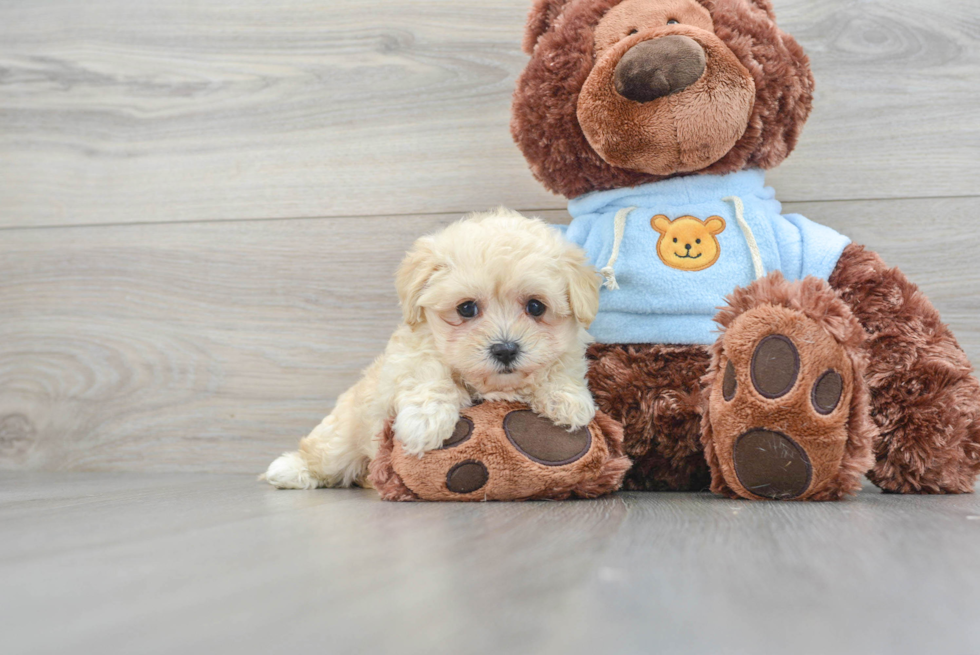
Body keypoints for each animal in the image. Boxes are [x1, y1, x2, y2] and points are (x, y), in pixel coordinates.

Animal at [262, 208, 596, 490]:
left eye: (536, 306)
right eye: (466, 308)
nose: (505, 350)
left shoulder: (567, 351)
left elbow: (560, 366)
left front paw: (566, 399)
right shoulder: (410, 355)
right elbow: (428, 375)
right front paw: (425, 422)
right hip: (345, 432)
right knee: (326, 453)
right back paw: (290, 470)